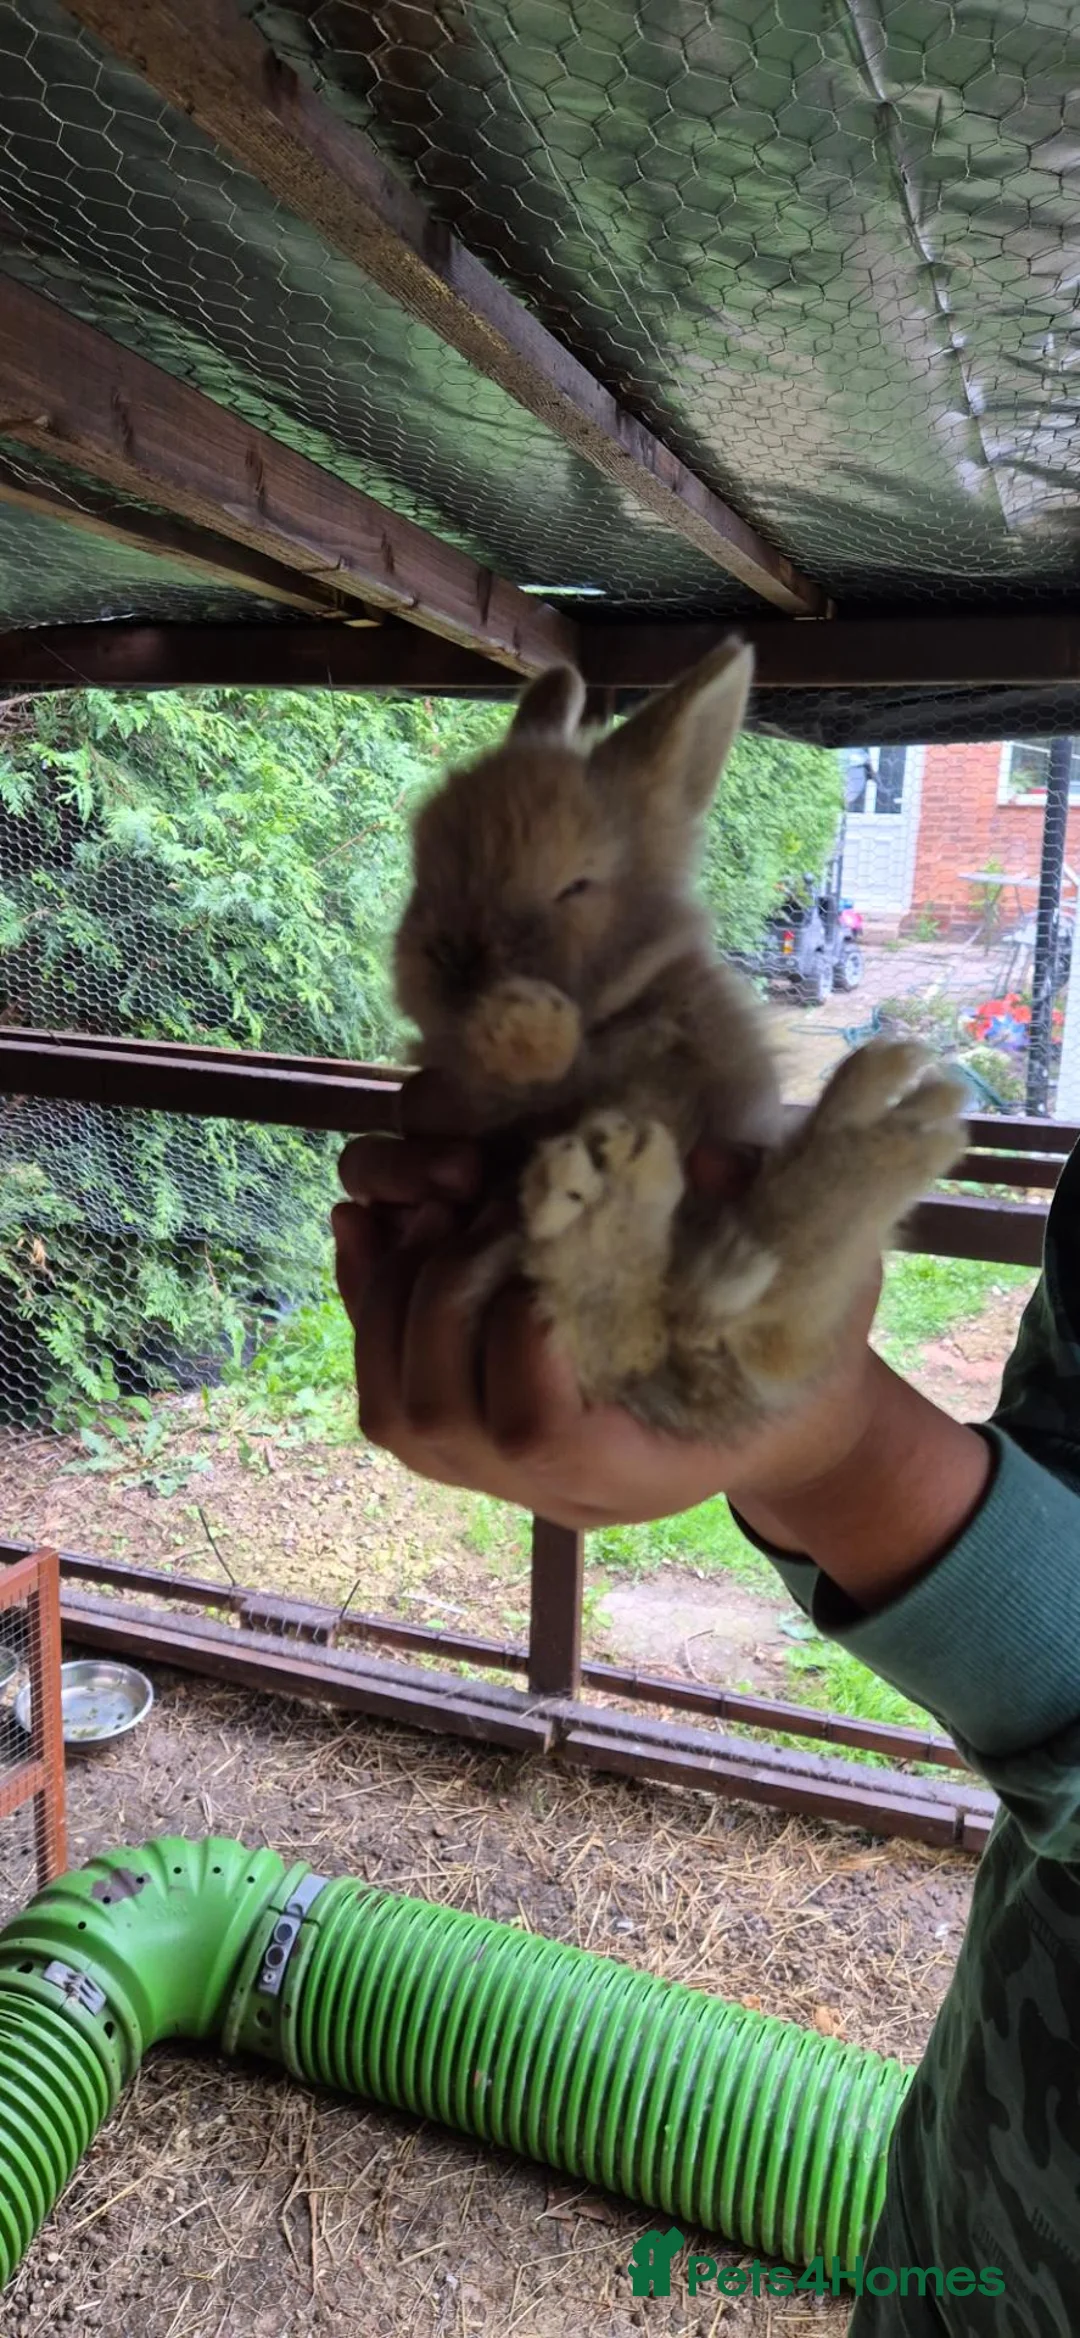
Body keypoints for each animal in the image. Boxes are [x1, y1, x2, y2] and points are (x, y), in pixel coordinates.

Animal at [393, 640, 968, 1436]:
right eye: (422, 870)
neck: (619, 1004)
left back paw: (879, 1128)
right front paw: (520, 1023)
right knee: (645, 1324)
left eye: (575, 885)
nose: (450, 961)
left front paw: (518, 1020)